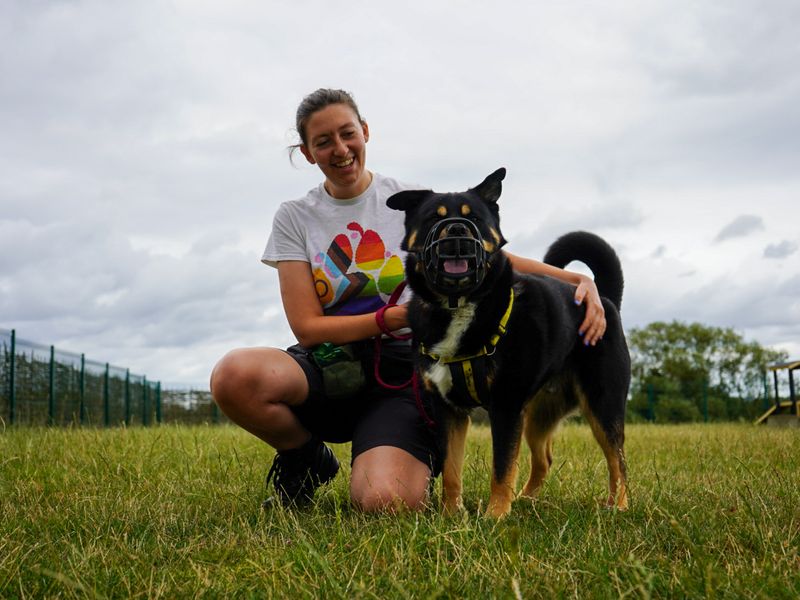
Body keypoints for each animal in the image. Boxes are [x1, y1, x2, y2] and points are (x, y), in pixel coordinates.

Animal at [388, 170, 632, 520]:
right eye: (434, 217)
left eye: (474, 217)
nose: (458, 230)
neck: (461, 305)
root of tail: (605, 298)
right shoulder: (449, 410)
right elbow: (451, 470)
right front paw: (452, 514)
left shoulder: (505, 406)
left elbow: (502, 467)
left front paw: (495, 515)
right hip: (538, 415)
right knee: (544, 460)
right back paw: (527, 501)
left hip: (602, 403)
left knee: (618, 460)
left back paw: (619, 506)